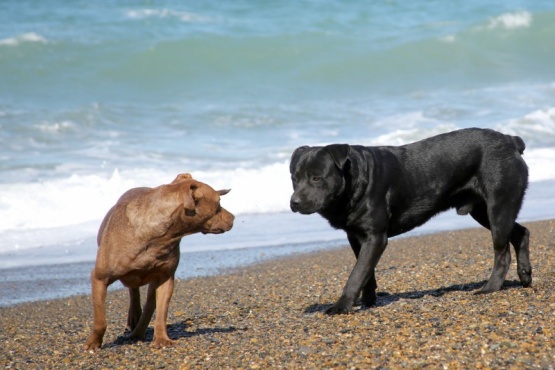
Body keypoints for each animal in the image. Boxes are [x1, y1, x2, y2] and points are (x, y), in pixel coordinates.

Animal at [82, 173, 235, 350]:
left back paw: (138, 333)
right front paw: (93, 343)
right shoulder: (100, 278)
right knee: (134, 292)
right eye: (218, 203)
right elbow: (100, 319)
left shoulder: (165, 278)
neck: (161, 236)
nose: (234, 217)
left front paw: (161, 338)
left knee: (149, 304)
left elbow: (161, 312)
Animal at [288, 129, 532, 314]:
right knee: (521, 233)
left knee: (502, 253)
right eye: (294, 178)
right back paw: (525, 275)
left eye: (317, 178)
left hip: (498, 206)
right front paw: (368, 301)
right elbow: (366, 272)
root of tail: (511, 140)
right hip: (484, 211)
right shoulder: (357, 237)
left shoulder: (375, 237)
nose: (294, 202)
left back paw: (490, 288)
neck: (354, 181)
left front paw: (342, 305)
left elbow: (356, 274)